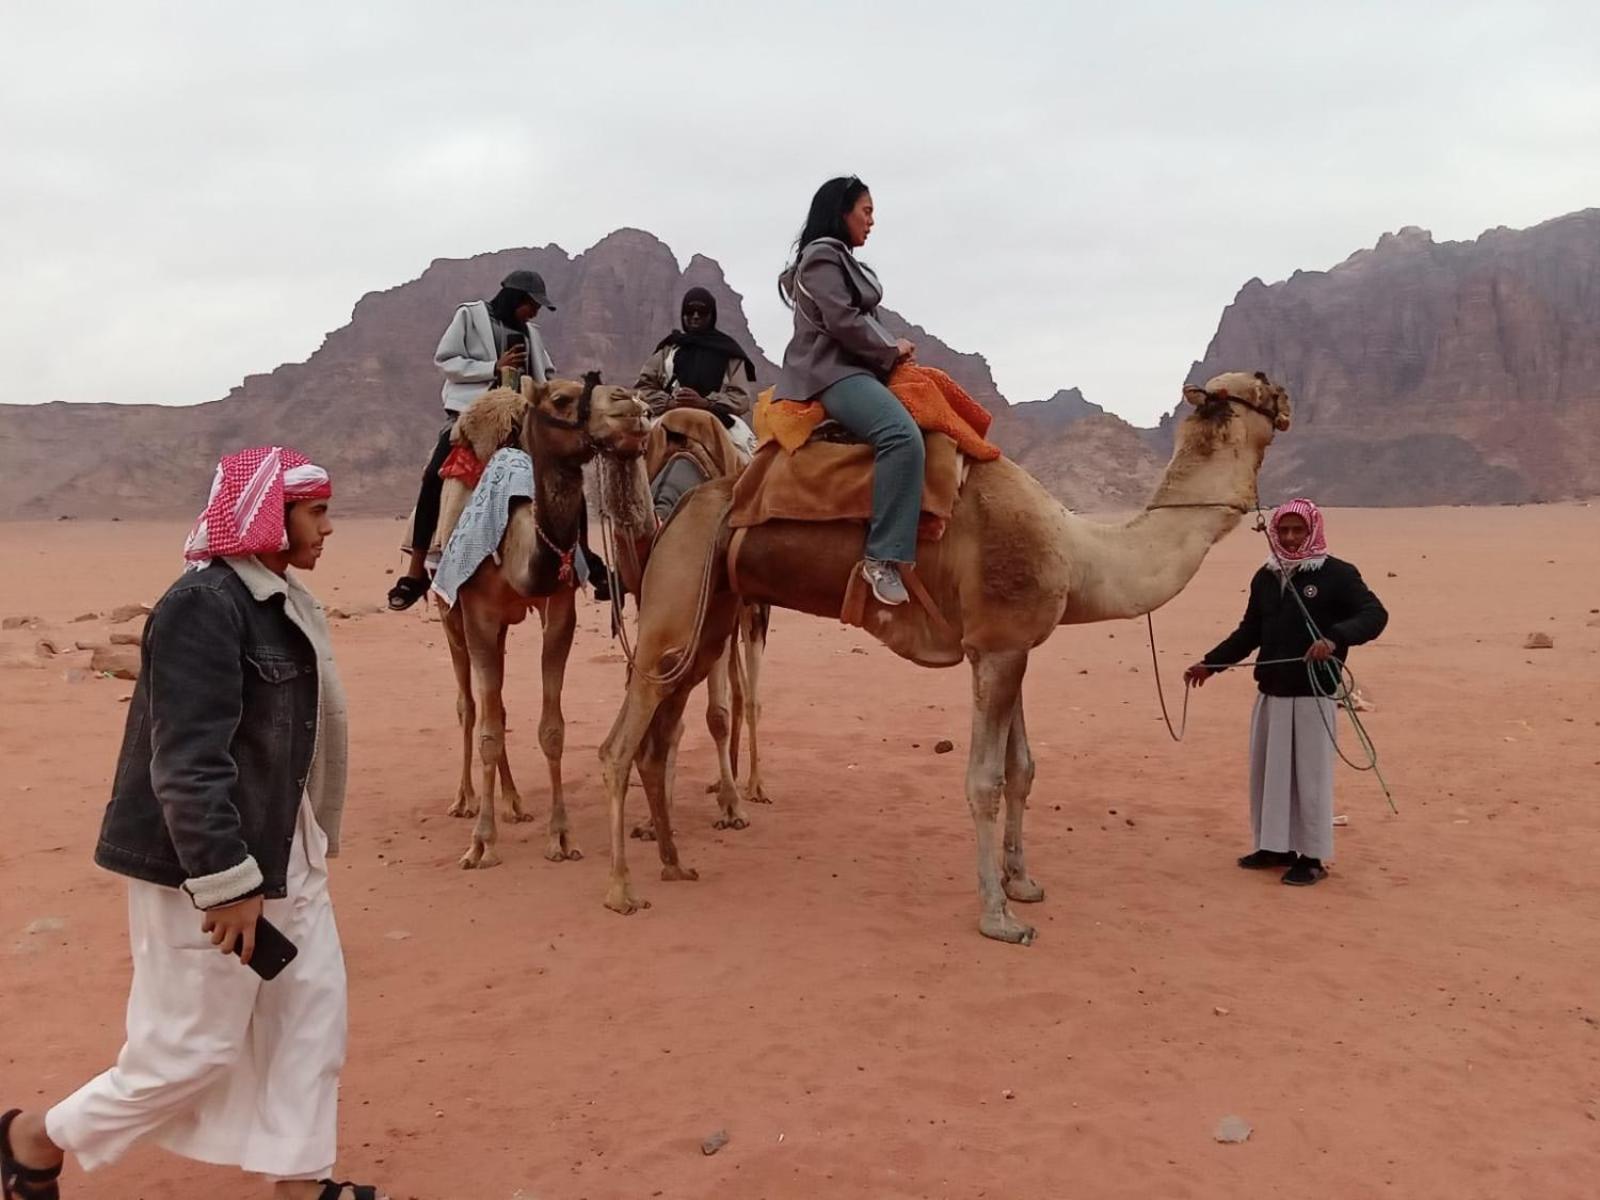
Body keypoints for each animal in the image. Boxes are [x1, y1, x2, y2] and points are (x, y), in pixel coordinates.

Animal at [432, 371, 649, 870]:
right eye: (562, 398)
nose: (629, 403)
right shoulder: (477, 615)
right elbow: (487, 730)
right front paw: (481, 843)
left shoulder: (559, 609)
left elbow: (551, 729)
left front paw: (562, 837)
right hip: (451, 616)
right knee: (470, 706)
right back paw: (465, 799)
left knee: (497, 705)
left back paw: (513, 802)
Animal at [595, 371, 1292, 947]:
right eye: (1256, 390)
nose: (1283, 397)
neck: (1080, 550)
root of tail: (684, 506)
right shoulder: (998, 648)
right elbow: (984, 781)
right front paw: (999, 917)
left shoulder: (1007, 645)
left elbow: (1023, 769)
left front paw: (1022, 882)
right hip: (676, 600)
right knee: (619, 744)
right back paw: (623, 890)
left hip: (709, 617)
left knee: (658, 735)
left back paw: (675, 864)